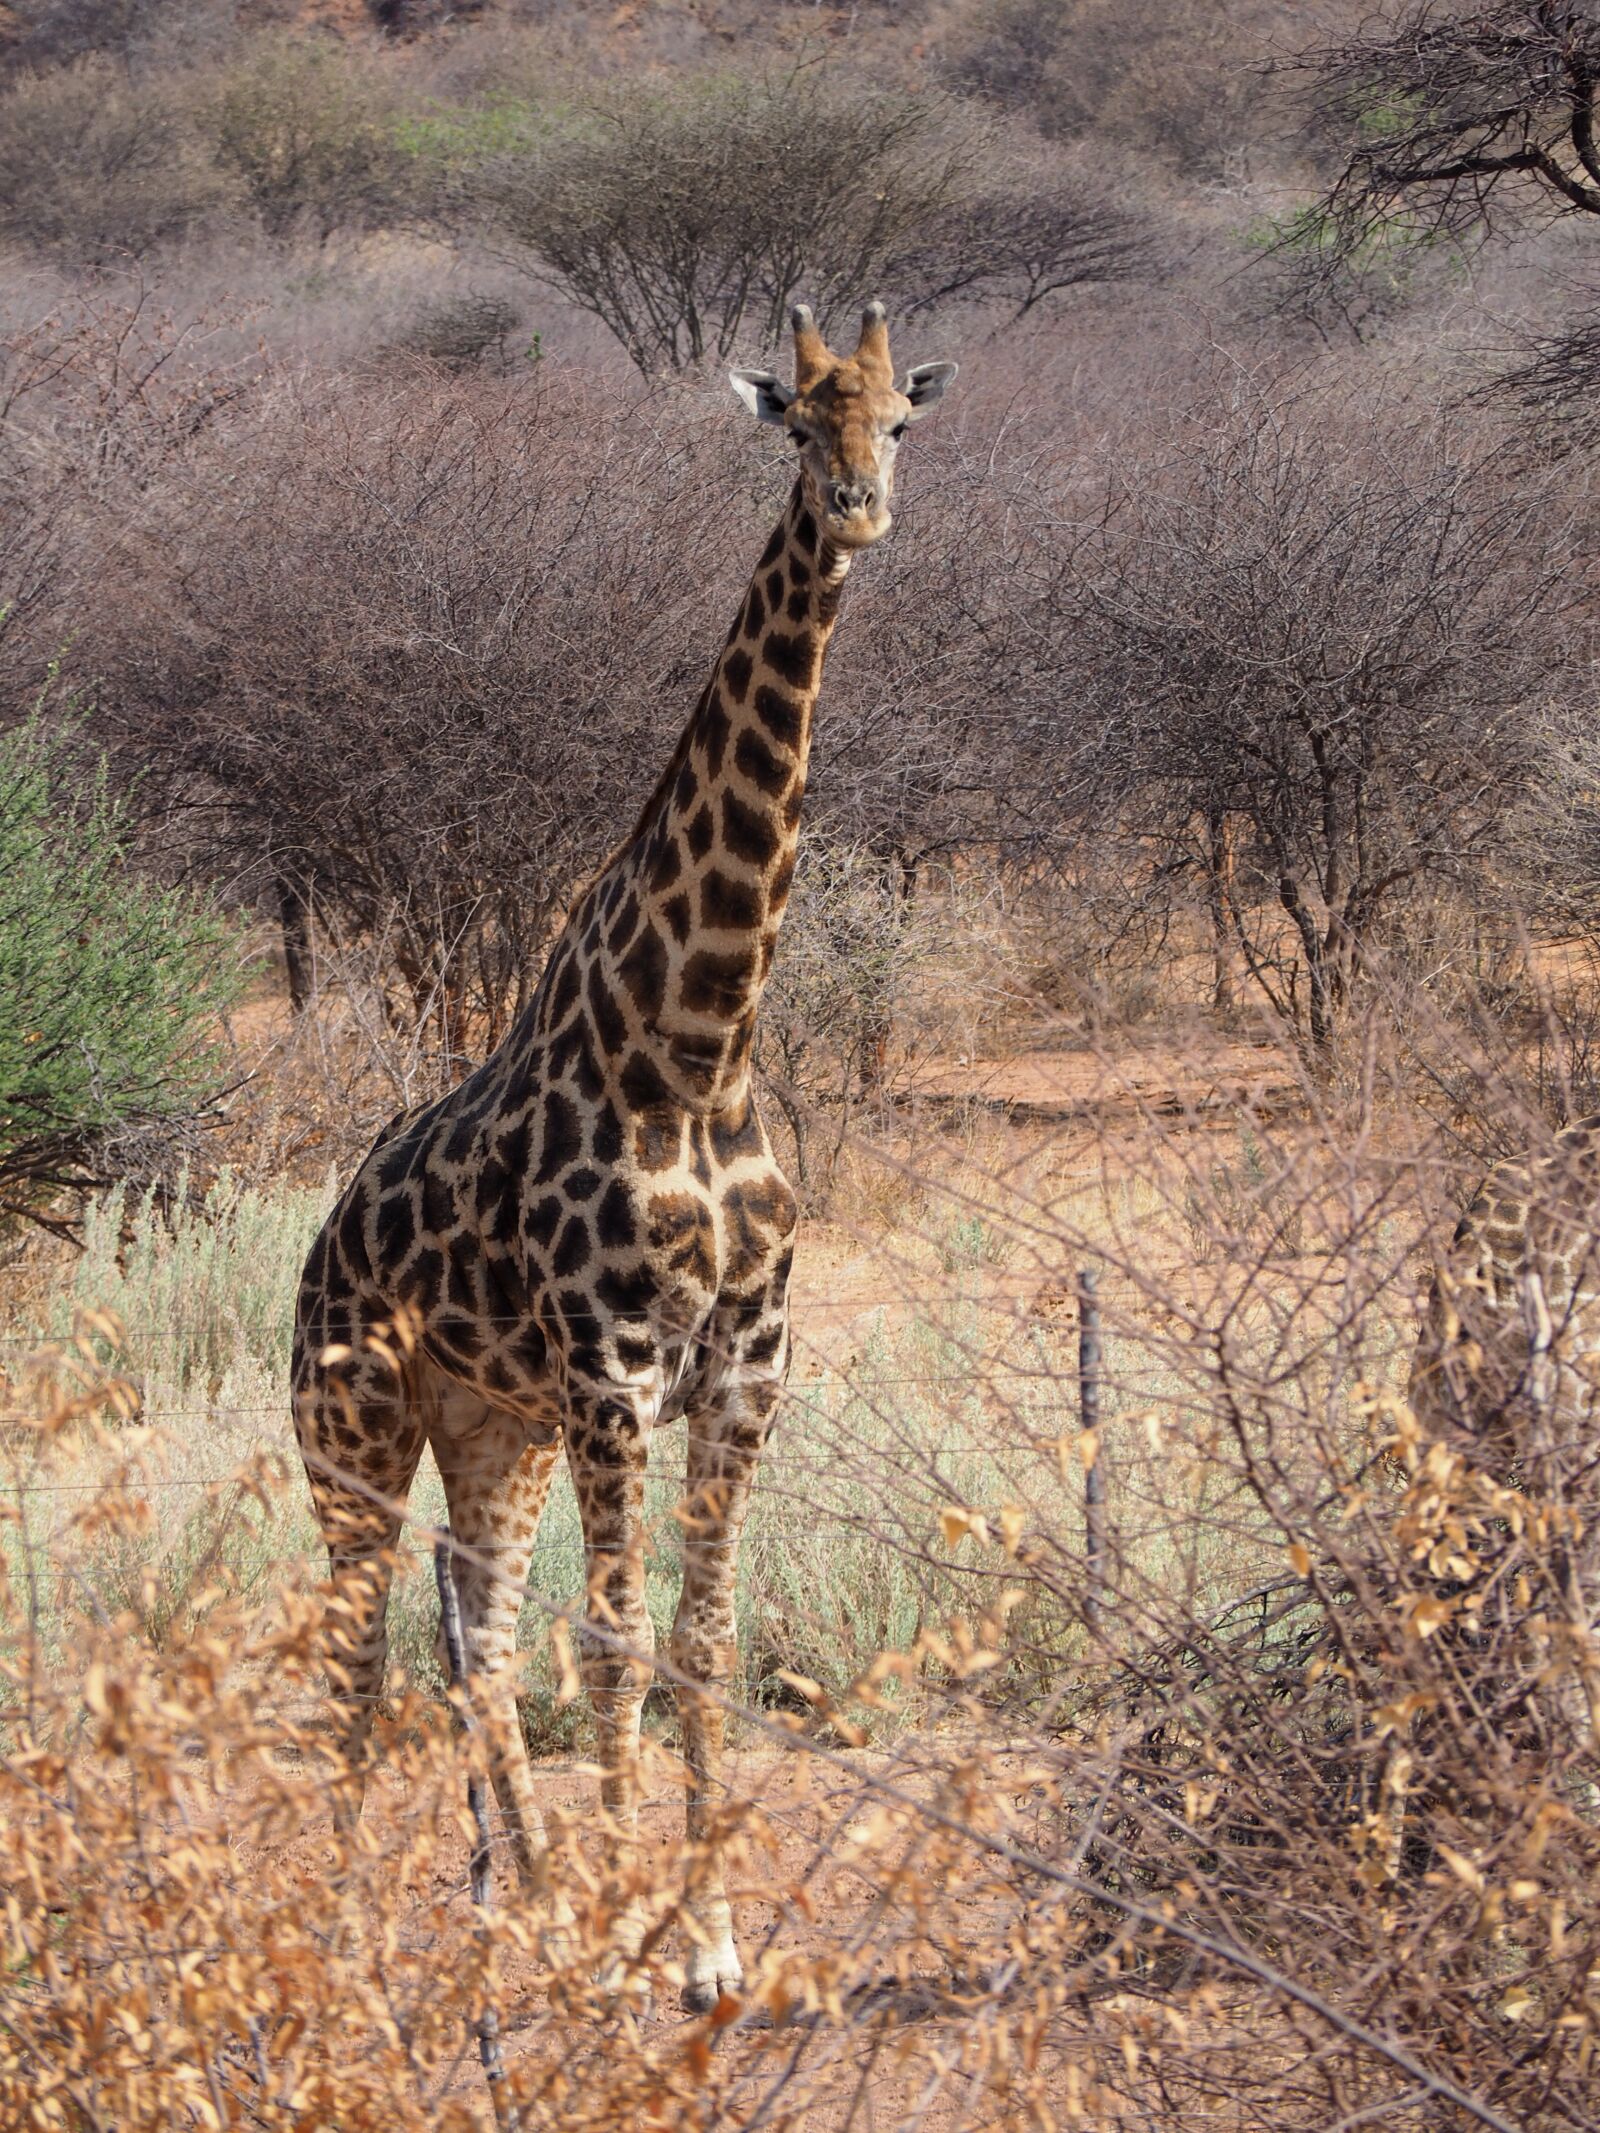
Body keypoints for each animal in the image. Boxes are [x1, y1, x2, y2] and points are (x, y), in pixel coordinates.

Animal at [290, 301, 956, 2012]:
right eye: (795, 420)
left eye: (900, 422)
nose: (860, 507)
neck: (701, 1043)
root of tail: (316, 1247)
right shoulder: (612, 1368)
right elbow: (619, 1642)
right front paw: (635, 1939)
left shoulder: (744, 1366)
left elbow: (701, 1642)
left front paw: (707, 1944)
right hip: (352, 1425)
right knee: (354, 1646)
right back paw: (345, 1930)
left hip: (491, 1427)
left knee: (473, 1625)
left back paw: (514, 1892)